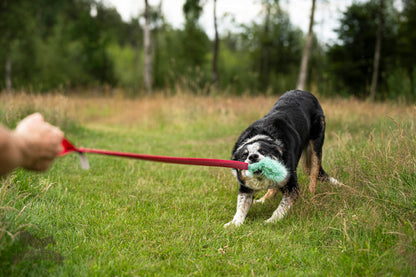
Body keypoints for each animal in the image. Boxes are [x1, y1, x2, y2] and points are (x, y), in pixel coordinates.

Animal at [224, 90, 342, 226]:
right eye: (244, 155)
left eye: (263, 151)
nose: (253, 156)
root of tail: (305, 92)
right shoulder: (245, 188)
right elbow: (241, 207)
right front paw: (233, 224)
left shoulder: (292, 187)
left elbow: (281, 207)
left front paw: (270, 221)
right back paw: (264, 199)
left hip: (316, 145)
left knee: (314, 174)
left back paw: (311, 196)